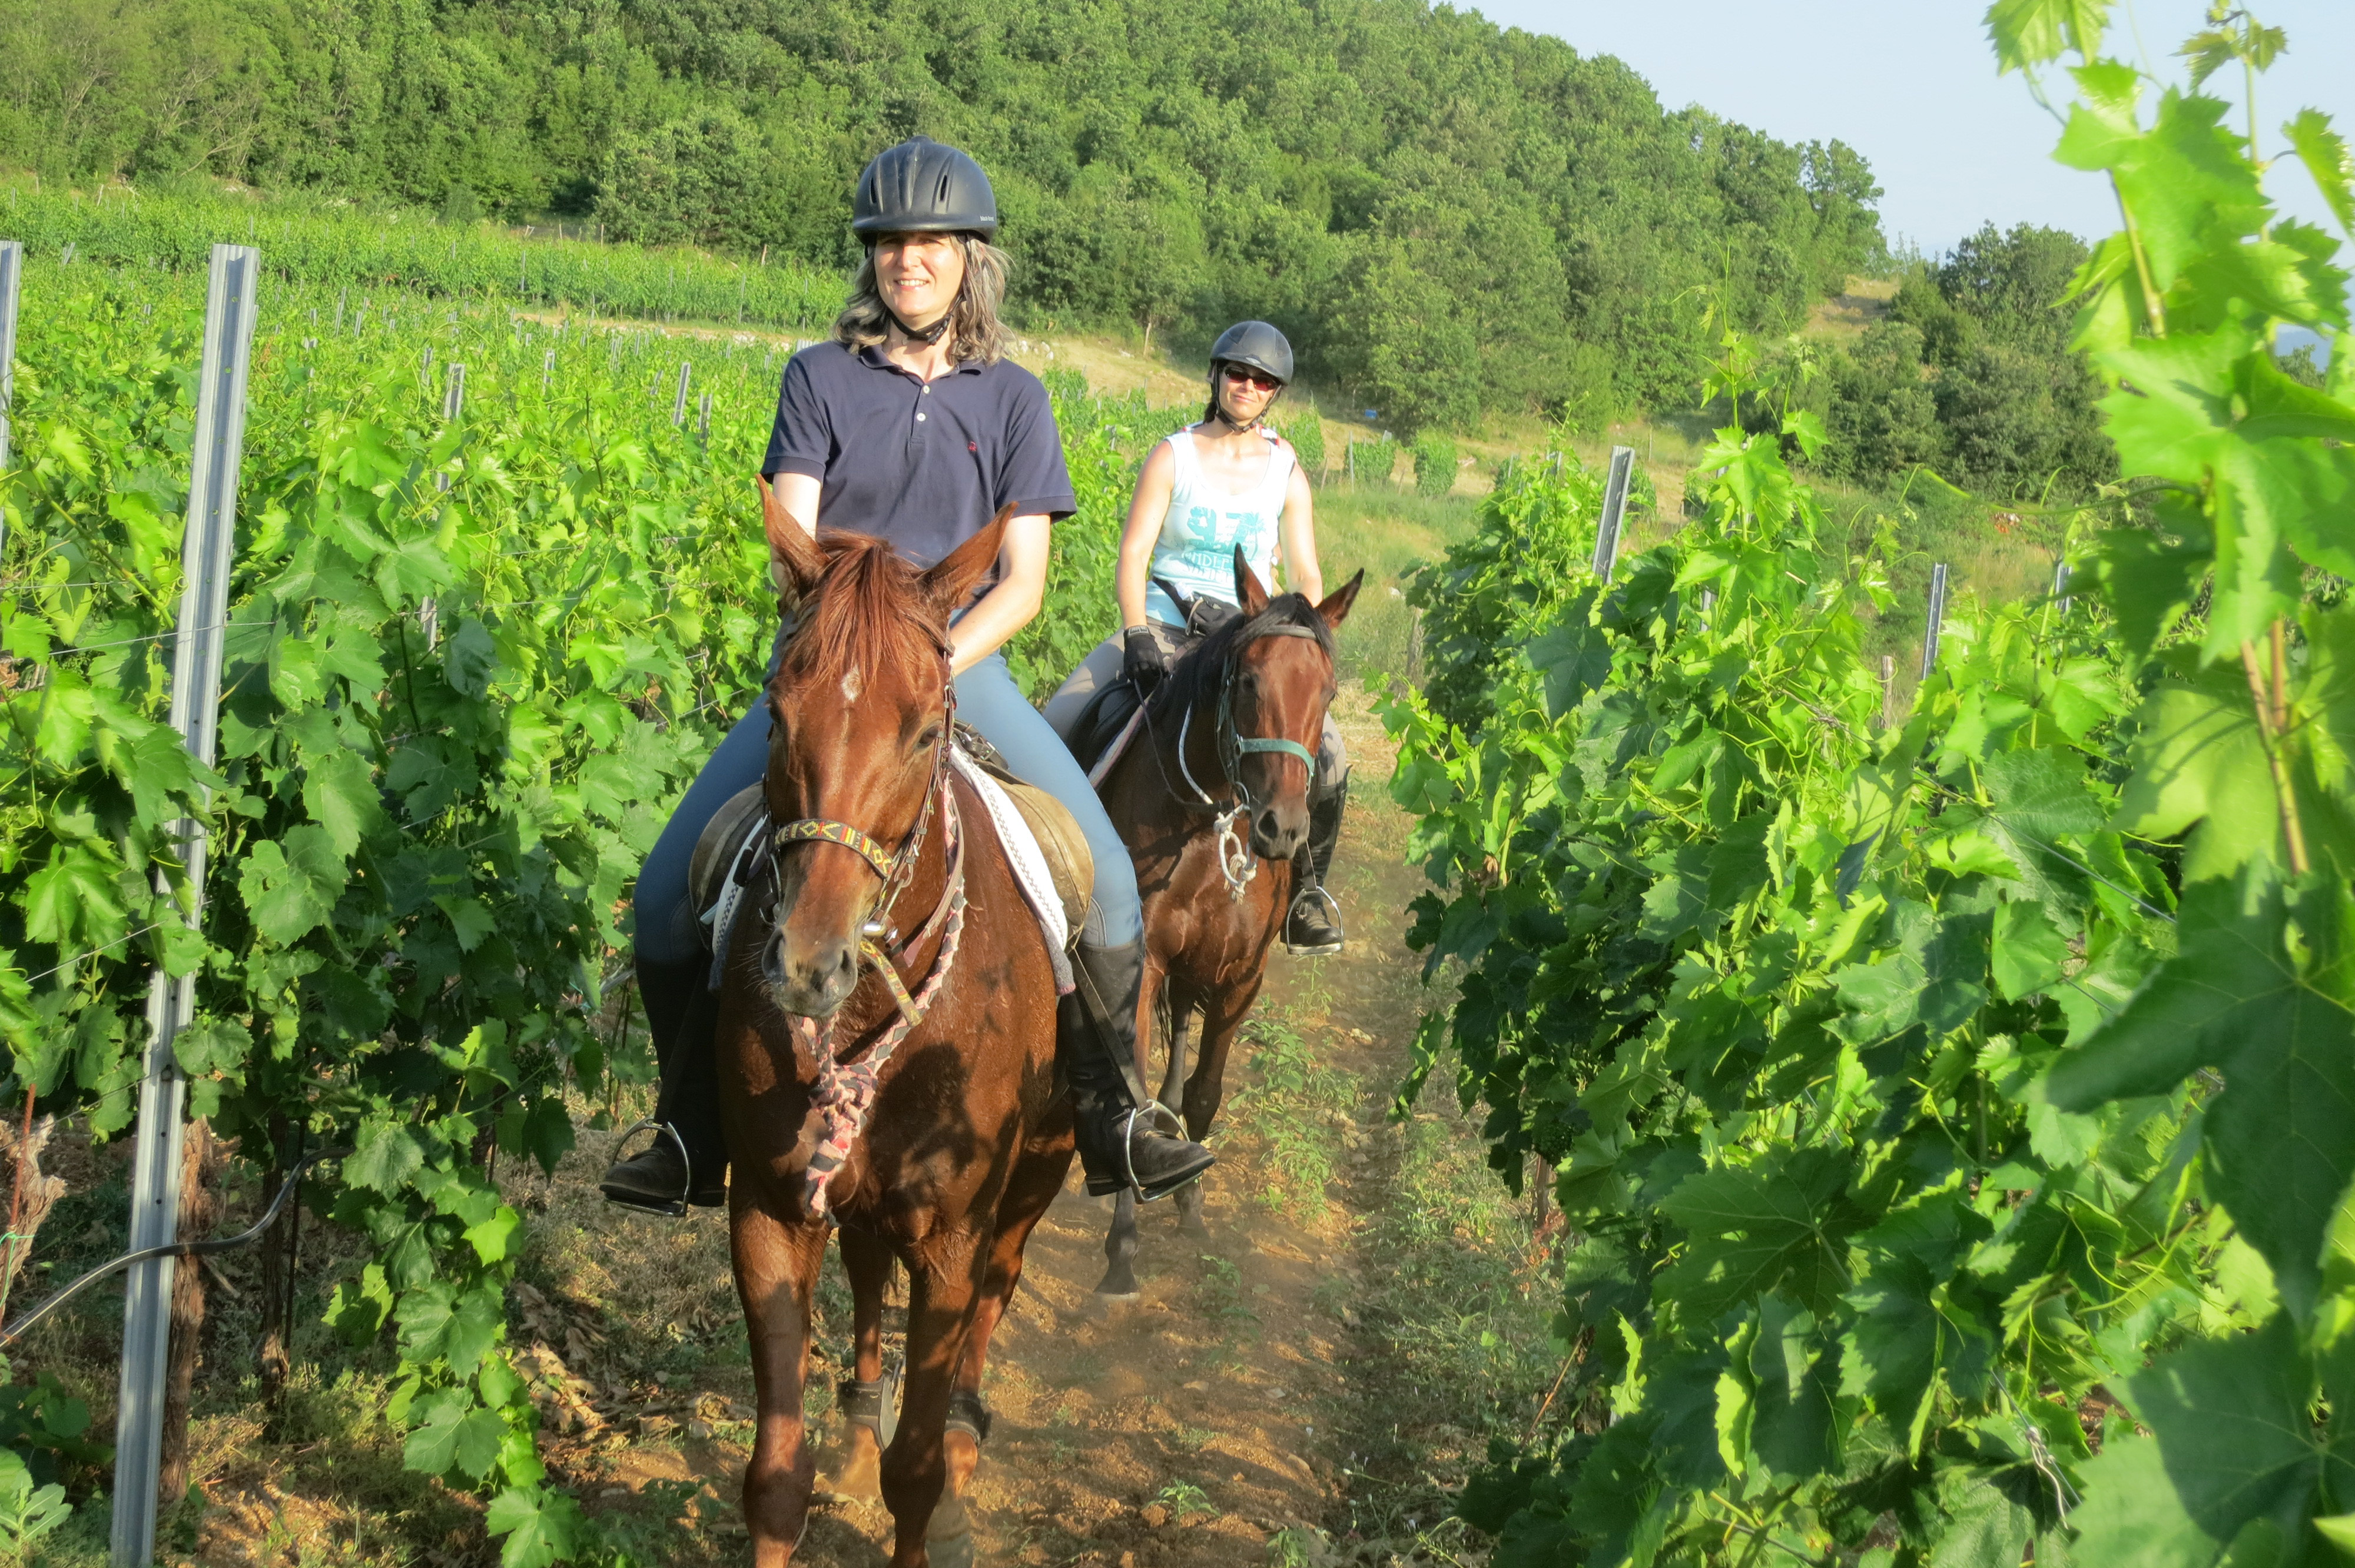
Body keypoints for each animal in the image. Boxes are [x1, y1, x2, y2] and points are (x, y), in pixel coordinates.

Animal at [716, 480, 1079, 1563]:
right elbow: (774, 1480)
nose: (806, 963)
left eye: (923, 734)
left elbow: (912, 1474)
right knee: (870, 1266)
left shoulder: (953, 1238)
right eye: (776, 712)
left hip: (1039, 1169)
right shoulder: (768, 1208)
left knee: (1001, 1286)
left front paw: (934, 1463)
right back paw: (857, 1413)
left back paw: (963, 1424)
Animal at [1083, 549, 1366, 1290]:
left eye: (1327, 693)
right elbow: (1134, 1093)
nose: (1280, 830)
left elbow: (1204, 1094)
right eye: (1245, 680)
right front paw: (1122, 1251)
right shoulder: (1145, 962)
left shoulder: (1242, 975)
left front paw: (1192, 1208)